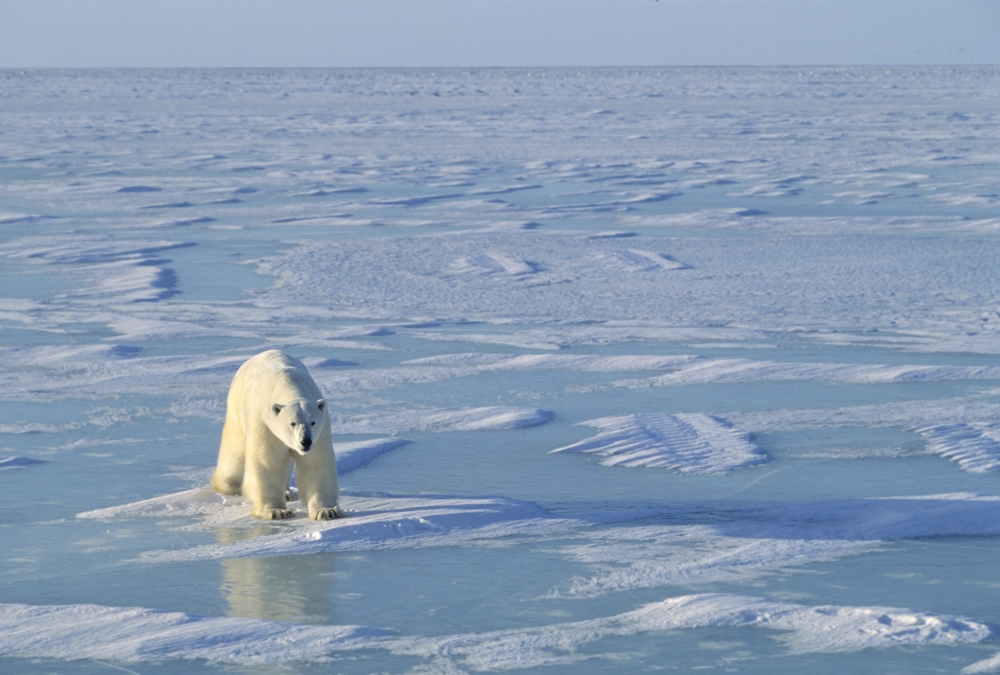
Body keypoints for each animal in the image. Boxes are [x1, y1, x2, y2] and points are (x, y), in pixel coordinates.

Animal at [211, 350, 343, 520]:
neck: (288, 384)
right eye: (292, 423)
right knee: (235, 452)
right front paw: (277, 511)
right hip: (236, 407)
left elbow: (315, 463)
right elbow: (268, 463)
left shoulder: (321, 431)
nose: (305, 442)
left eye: (313, 422)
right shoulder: (265, 424)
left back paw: (287, 493)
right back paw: (230, 486)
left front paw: (326, 511)